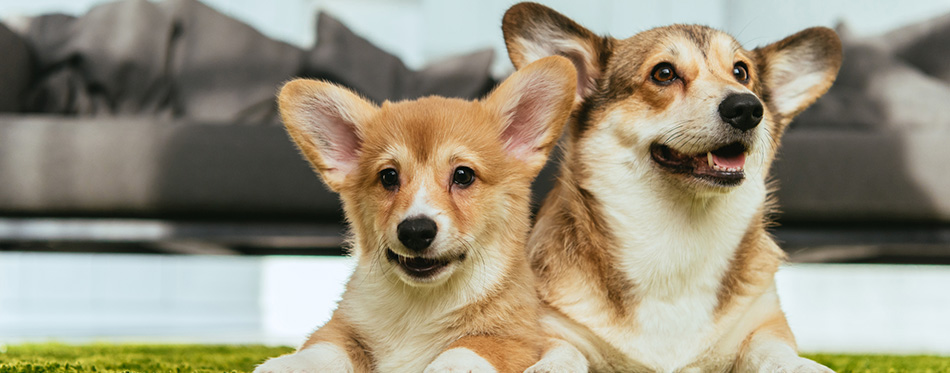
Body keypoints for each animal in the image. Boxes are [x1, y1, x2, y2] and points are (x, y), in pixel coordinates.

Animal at [253, 55, 584, 372]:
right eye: (388, 177)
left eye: (463, 175)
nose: (415, 231)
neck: (421, 305)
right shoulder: (343, 326)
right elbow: (323, 349)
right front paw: (286, 365)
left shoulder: (514, 339)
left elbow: (468, 348)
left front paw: (449, 367)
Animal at [502, 2, 844, 372]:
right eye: (663, 73)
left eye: (741, 72)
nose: (747, 108)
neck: (677, 241)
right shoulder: (554, 332)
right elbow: (561, 355)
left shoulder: (763, 326)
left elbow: (777, 354)